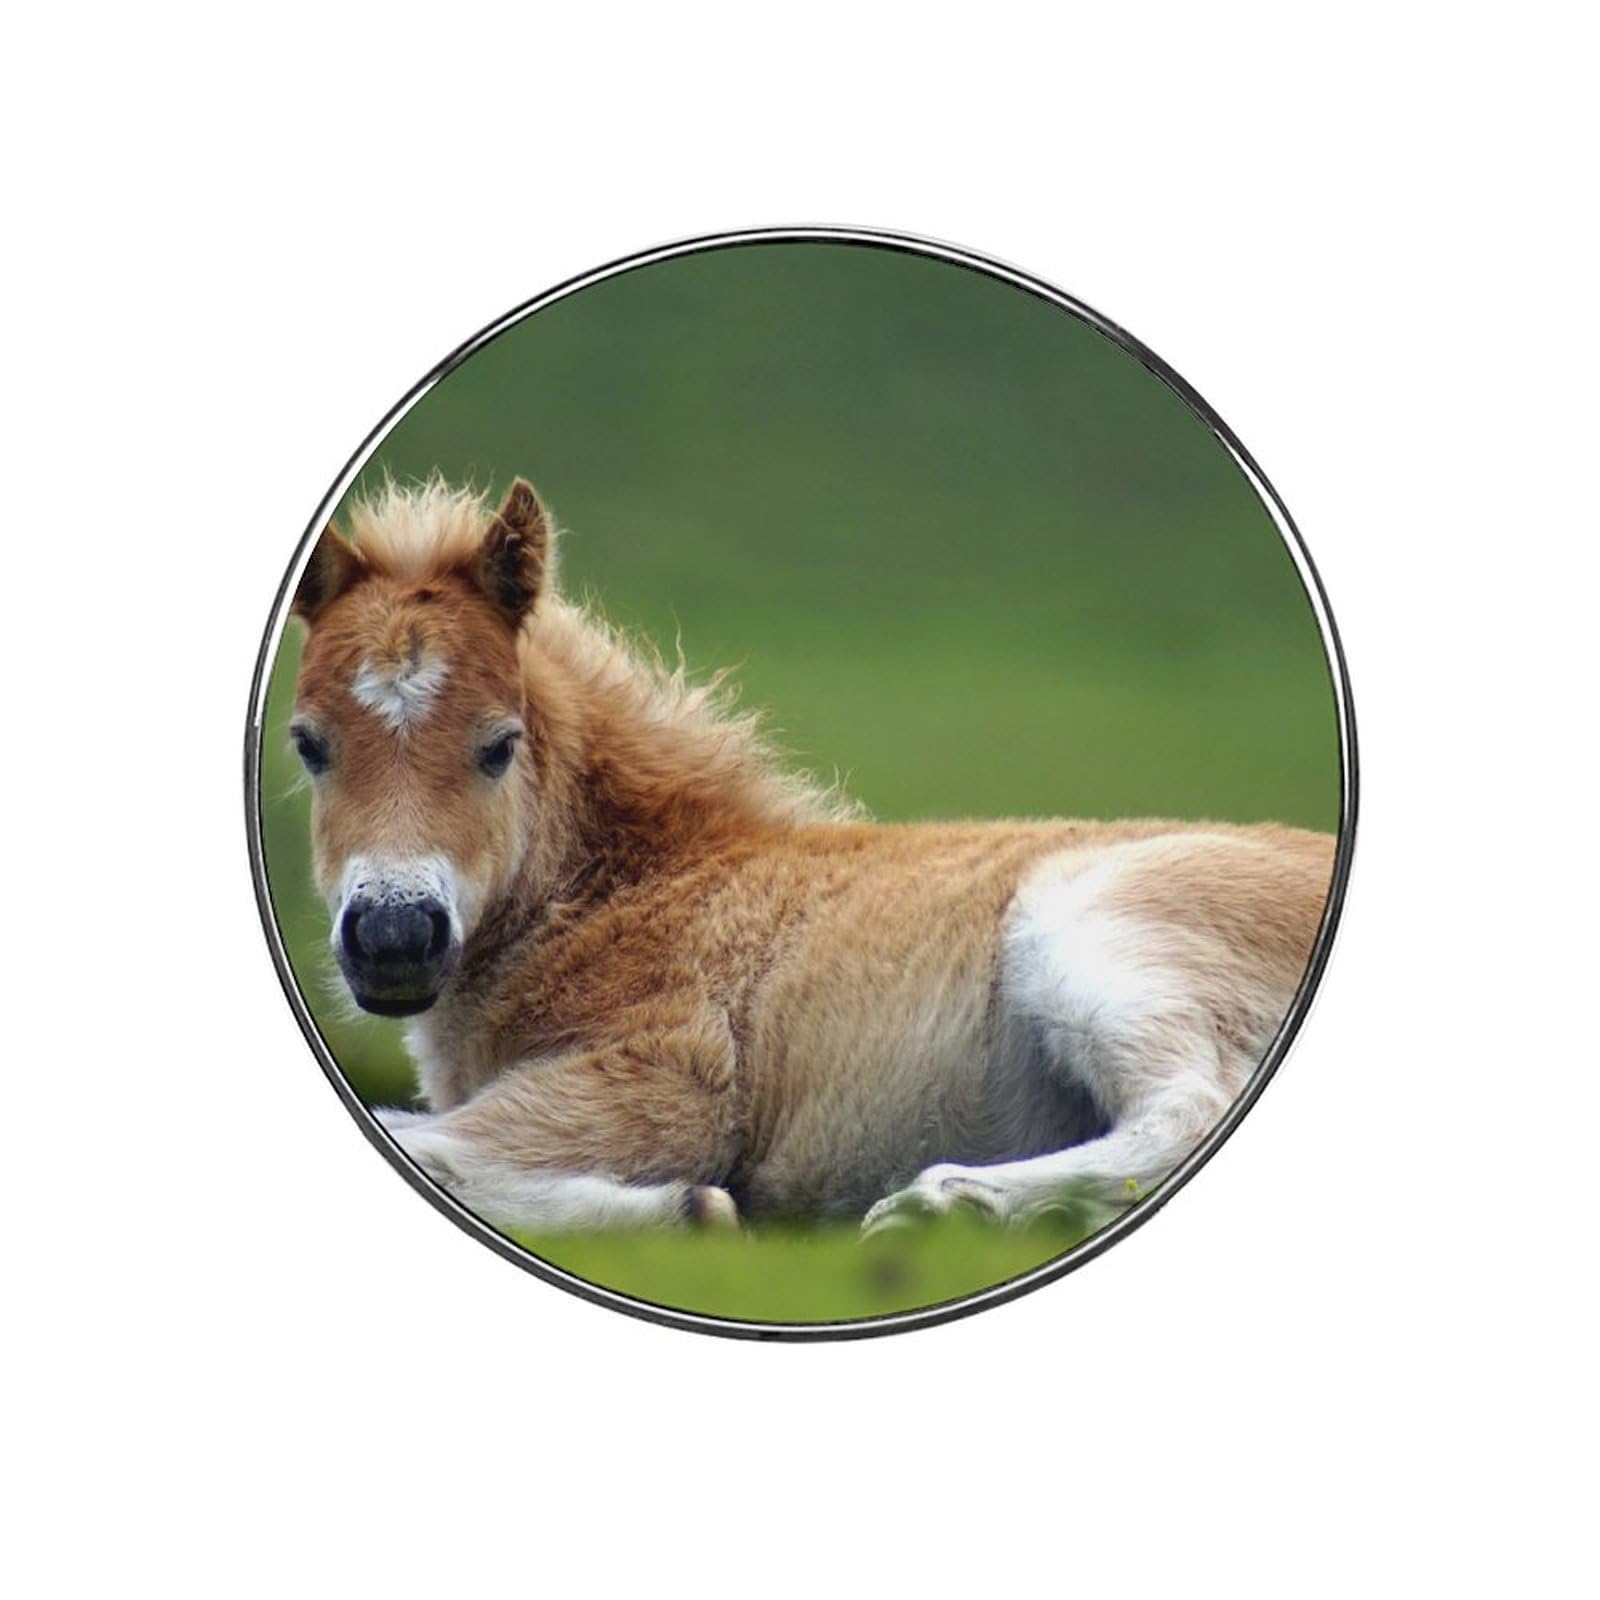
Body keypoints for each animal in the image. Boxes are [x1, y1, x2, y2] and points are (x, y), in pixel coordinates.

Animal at [285, 476, 1334, 1234]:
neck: (640, 886)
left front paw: (690, 1207)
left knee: (1191, 1106)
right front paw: (686, 1210)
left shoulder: (668, 1079)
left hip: (1095, 932)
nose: (393, 937)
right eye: (307, 744)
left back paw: (941, 1205)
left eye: (499, 745)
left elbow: (417, 1140)